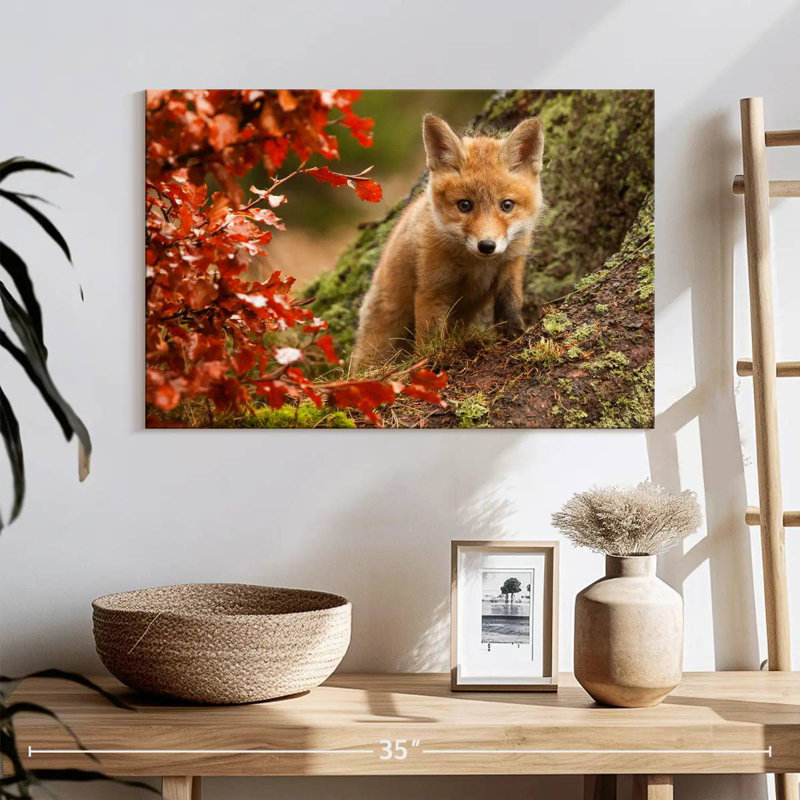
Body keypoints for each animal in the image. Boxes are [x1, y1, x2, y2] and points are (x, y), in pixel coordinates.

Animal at [351, 113, 545, 370]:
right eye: (464, 205)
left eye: (506, 205)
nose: (487, 246)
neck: (477, 266)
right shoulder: (432, 288)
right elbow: (430, 337)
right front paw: (430, 362)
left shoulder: (511, 267)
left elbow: (509, 305)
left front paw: (515, 334)